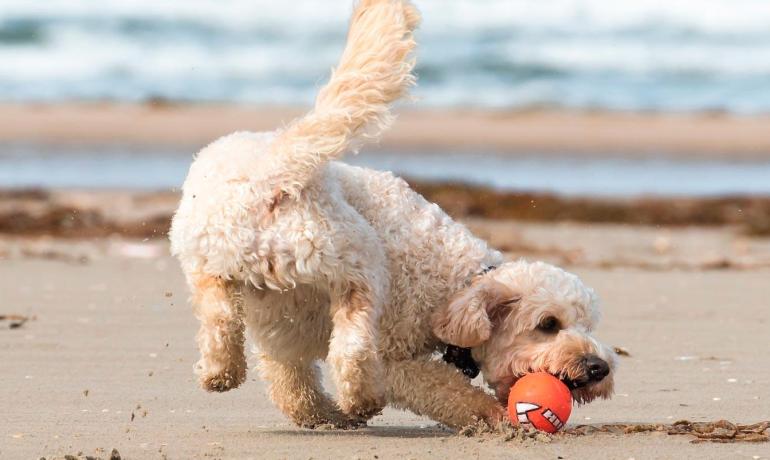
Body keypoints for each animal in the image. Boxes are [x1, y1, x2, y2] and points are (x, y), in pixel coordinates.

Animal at [168, 0, 612, 430]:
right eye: (548, 324)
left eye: (588, 325)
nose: (599, 367)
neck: (455, 285)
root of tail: (275, 170)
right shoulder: (396, 356)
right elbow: (445, 390)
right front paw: (492, 415)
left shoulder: (282, 336)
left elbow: (292, 386)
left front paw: (324, 417)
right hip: (358, 259)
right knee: (352, 345)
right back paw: (360, 398)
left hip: (211, 259)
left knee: (224, 317)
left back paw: (223, 372)